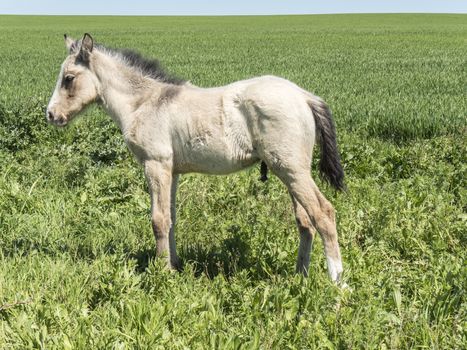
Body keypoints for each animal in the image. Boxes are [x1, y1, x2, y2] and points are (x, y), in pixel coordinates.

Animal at [46, 33, 348, 284]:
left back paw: (338, 284)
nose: (51, 114)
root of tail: (304, 96)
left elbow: (158, 220)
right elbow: (171, 218)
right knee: (305, 221)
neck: (144, 103)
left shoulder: (155, 165)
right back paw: (300, 277)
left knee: (323, 213)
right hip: (290, 172)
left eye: (69, 78)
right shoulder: (172, 171)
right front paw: (175, 264)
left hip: (291, 170)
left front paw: (162, 273)